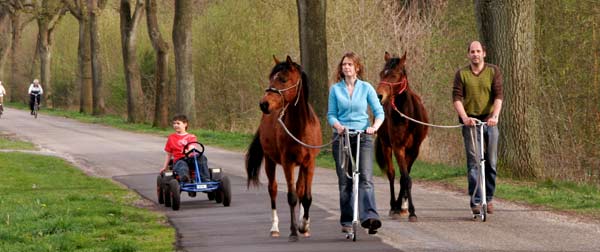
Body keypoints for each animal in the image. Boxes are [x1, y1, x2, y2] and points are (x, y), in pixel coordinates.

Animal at [244, 55, 322, 242]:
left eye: (283, 79)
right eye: (270, 78)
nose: (264, 104)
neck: (301, 127)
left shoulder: (309, 163)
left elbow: (306, 196)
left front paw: (304, 225)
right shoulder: (288, 162)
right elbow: (291, 197)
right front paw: (293, 231)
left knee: (300, 189)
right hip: (270, 162)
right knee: (273, 190)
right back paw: (274, 228)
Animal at [376, 52, 426, 221]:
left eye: (394, 75)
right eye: (381, 73)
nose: (379, 95)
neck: (407, 116)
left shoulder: (414, 150)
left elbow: (406, 178)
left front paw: (406, 208)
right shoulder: (398, 147)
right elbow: (403, 177)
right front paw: (409, 210)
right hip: (385, 145)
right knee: (391, 174)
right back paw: (393, 206)